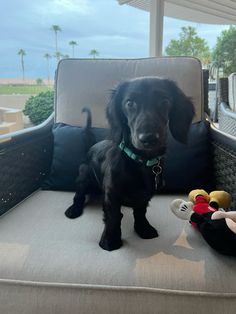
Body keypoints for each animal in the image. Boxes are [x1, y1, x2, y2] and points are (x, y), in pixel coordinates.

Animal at [65, 77, 195, 251]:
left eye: (165, 101)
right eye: (130, 103)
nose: (148, 138)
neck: (141, 161)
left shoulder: (145, 195)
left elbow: (140, 212)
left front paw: (143, 228)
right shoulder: (111, 193)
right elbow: (113, 217)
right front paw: (110, 240)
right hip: (83, 176)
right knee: (78, 195)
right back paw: (74, 209)